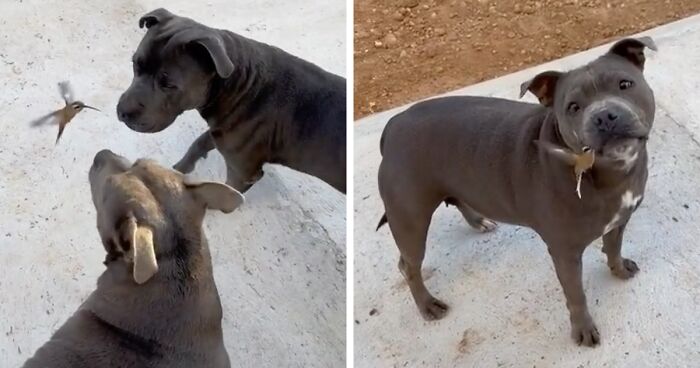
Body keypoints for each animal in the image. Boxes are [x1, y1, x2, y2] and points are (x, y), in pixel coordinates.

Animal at [118, 7, 348, 193]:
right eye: (135, 64)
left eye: (168, 84)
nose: (122, 111)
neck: (241, 84)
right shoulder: (222, 131)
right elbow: (199, 144)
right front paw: (179, 170)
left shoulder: (242, 172)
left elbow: (230, 192)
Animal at [378, 36, 656, 346]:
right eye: (573, 107)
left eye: (624, 84)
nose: (605, 117)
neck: (609, 173)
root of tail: (394, 124)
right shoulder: (565, 252)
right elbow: (576, 294)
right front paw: (582, 329)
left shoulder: (620, 220)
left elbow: (613, 247)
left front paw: (619, 269)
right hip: (410, 220)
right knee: (409, 265)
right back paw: (427, 304)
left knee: (458, 198)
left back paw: (479, 220)